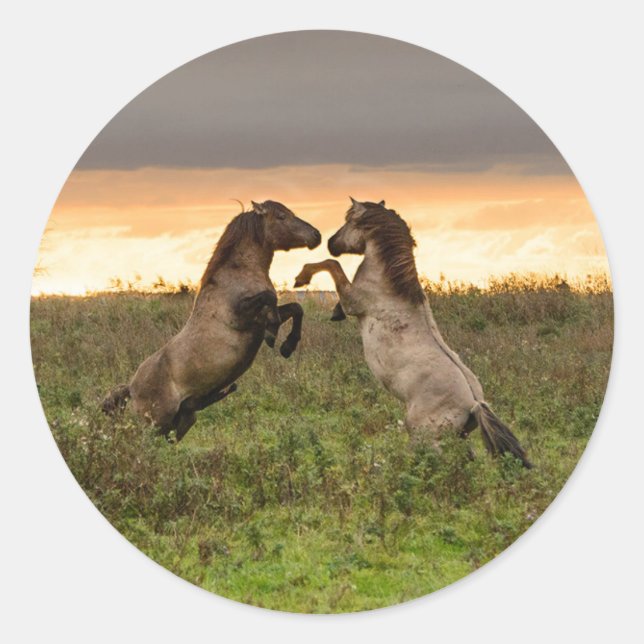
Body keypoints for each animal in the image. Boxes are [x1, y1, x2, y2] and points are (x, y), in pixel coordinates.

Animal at [102, 200, 321, 441]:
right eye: (282, 216)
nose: (316, 235)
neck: (238, 275)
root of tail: (131, 389)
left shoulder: (259, 319)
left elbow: (296, 308)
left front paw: (287, 346)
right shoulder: (241, 316)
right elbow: (270, 298)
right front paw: (273, 335)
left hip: (182, 422)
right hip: (154, 425)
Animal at [294, 198, 532, 467]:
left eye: (350, 221)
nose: (331, 242)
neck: (387, 284)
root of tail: (474, 404)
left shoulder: (353, 300)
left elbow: (332, 266)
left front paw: (302, 278)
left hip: (423, 435)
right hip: (457, 437)